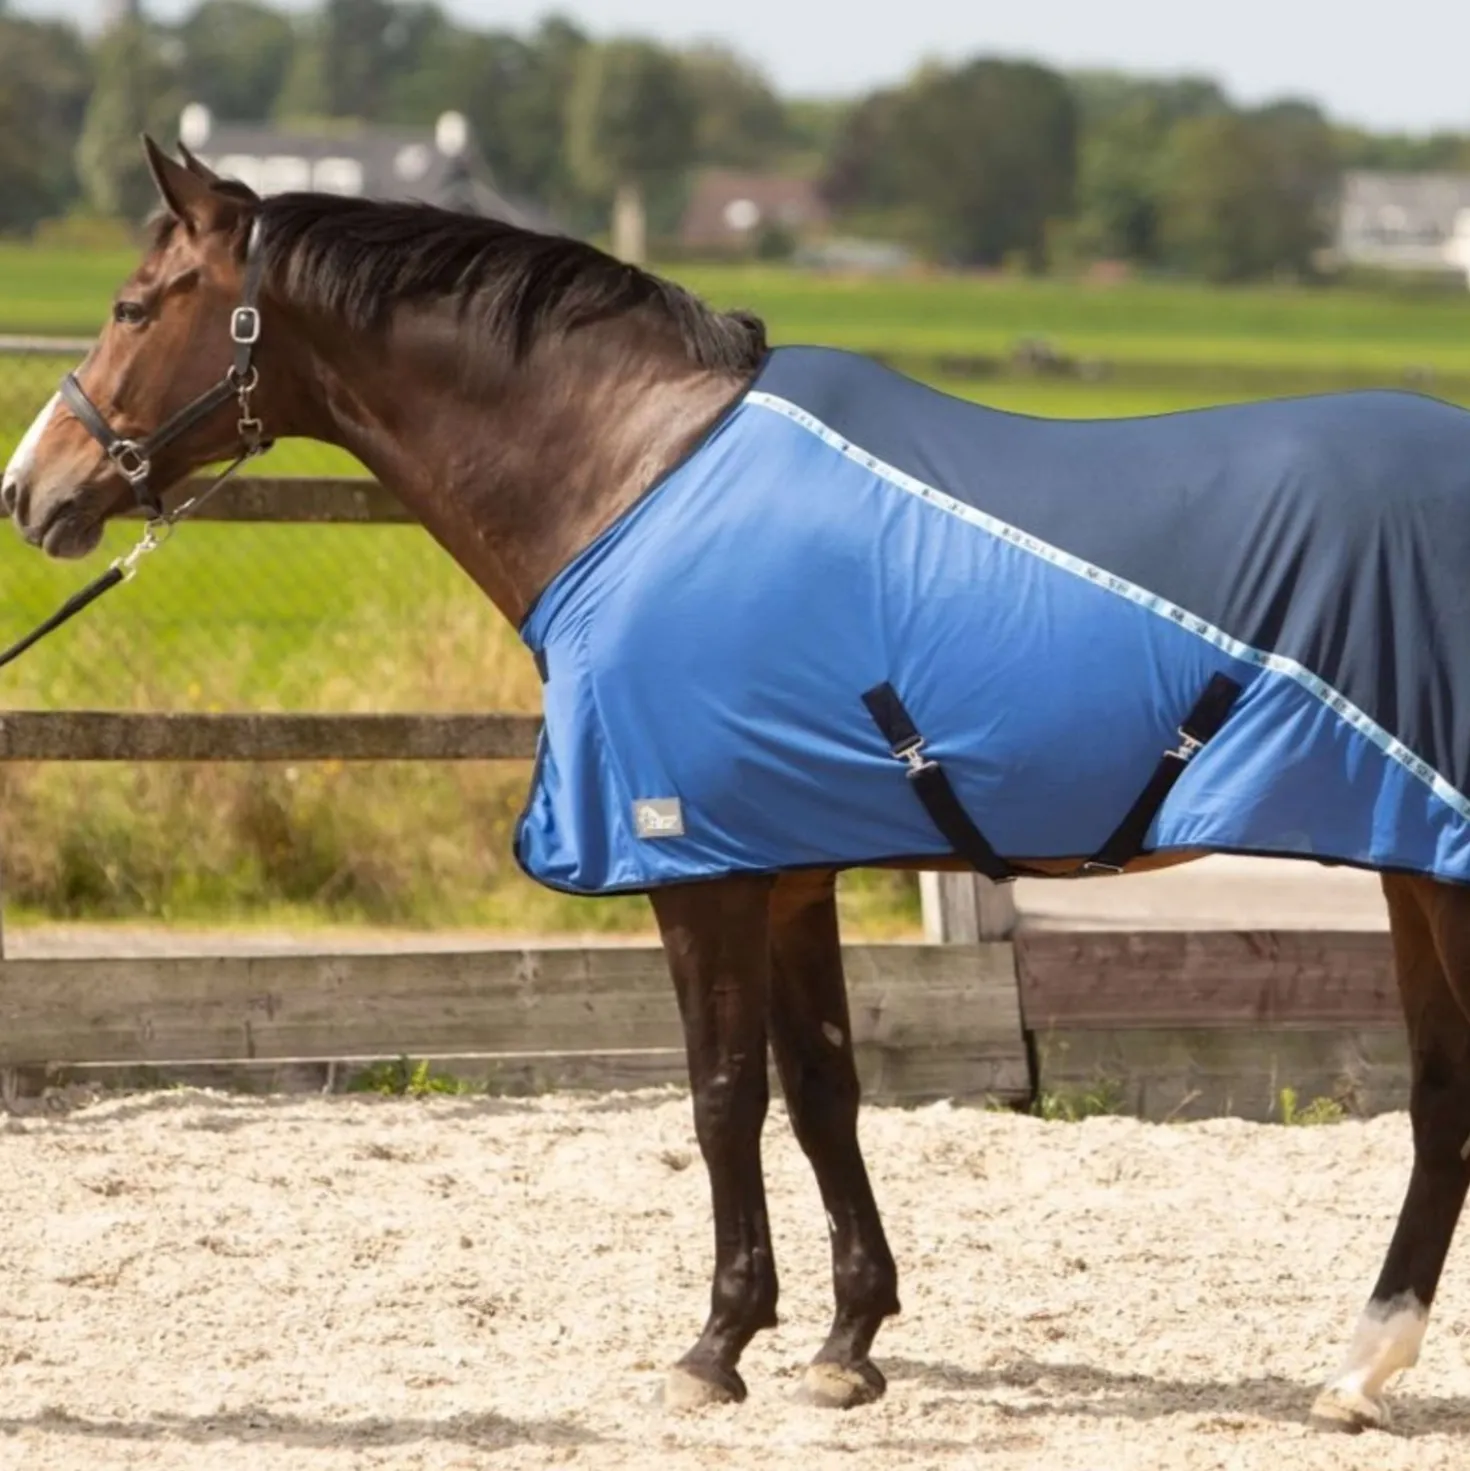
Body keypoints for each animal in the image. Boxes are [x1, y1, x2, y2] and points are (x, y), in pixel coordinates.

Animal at [4, 137, 1470, 1432]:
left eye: (135, 305)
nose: (33, 491)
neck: (634, 477)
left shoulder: (694, 865)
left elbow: (721, 1095)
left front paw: (714, 1346)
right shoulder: (786, 859)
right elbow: (822, 1085)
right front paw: (844, 1343)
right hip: (1414, 870)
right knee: (1437, 1094)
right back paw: (1356, 1369)